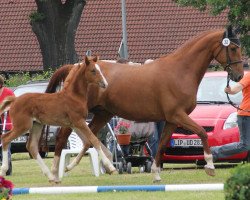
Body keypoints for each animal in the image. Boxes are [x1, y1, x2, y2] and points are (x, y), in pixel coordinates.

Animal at [0, 55, 115, 183]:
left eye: (99, 69)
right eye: (93, 70)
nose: (105, 84)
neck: (74, 96)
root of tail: (14, 100)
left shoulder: (75, 124)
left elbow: (88, 141)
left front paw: (68, 167)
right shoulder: (79, 121)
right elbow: (94, 140)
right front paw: (110, 167)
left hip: (36, 125)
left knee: (32, 147)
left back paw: (51, 177)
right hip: (23, 126)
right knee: (5, 138)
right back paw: (3, 171)